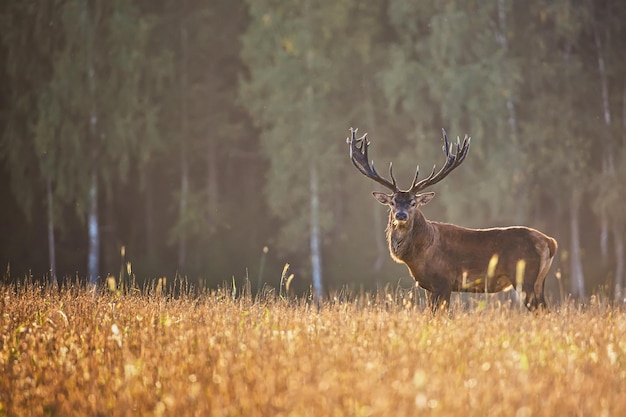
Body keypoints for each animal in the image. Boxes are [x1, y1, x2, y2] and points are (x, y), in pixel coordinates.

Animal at [346, 128, 556, 310]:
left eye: (413, 203)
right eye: (392, 202)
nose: (401, 215)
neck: (419, 254)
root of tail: (550, 242)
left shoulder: (444, 281)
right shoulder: (429, 287)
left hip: (525, 278)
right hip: (538, 281)